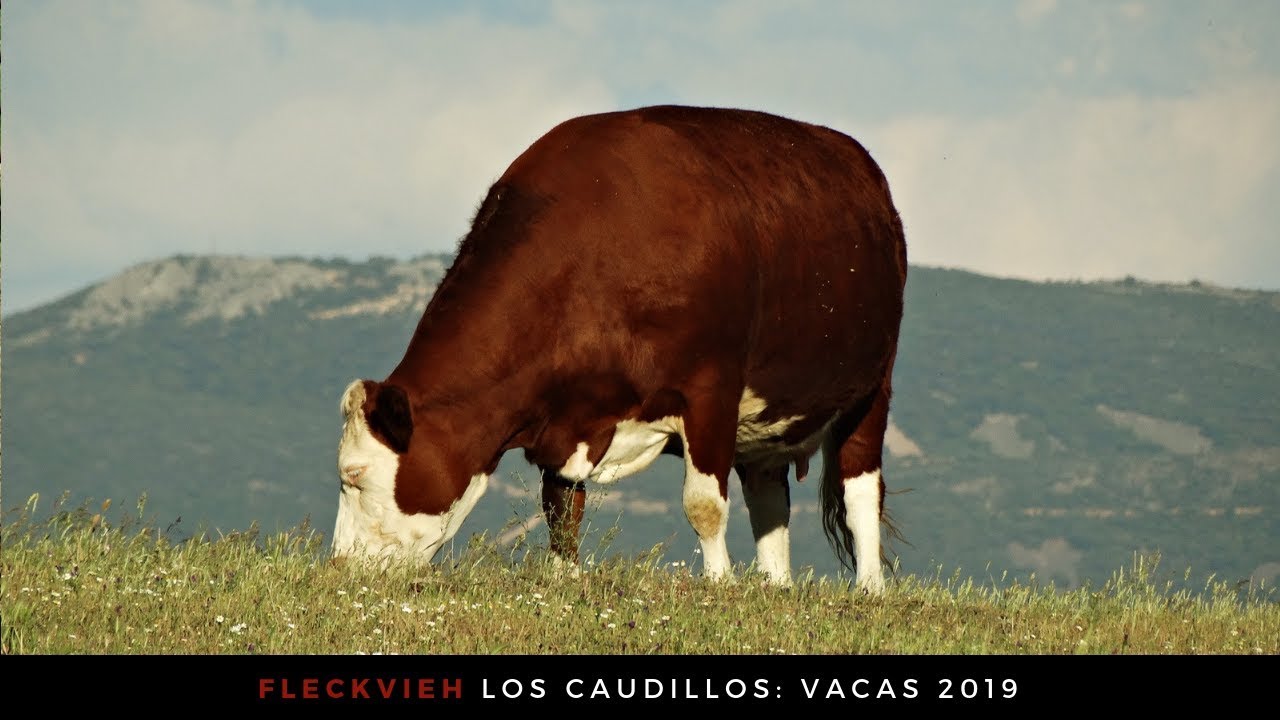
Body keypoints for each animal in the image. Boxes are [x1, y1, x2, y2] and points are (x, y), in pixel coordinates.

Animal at [333, 104, 907, 593]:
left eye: (353, 475)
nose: (340, 566)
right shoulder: (568, 416)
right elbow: (560, 503)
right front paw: (562, 579)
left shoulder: (710, 388)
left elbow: (704, 504)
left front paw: (719, 585)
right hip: (768, 416)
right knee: (768, 494)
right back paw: (775, 585)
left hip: (872, 386)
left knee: (859, 490)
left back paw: (869, 588)